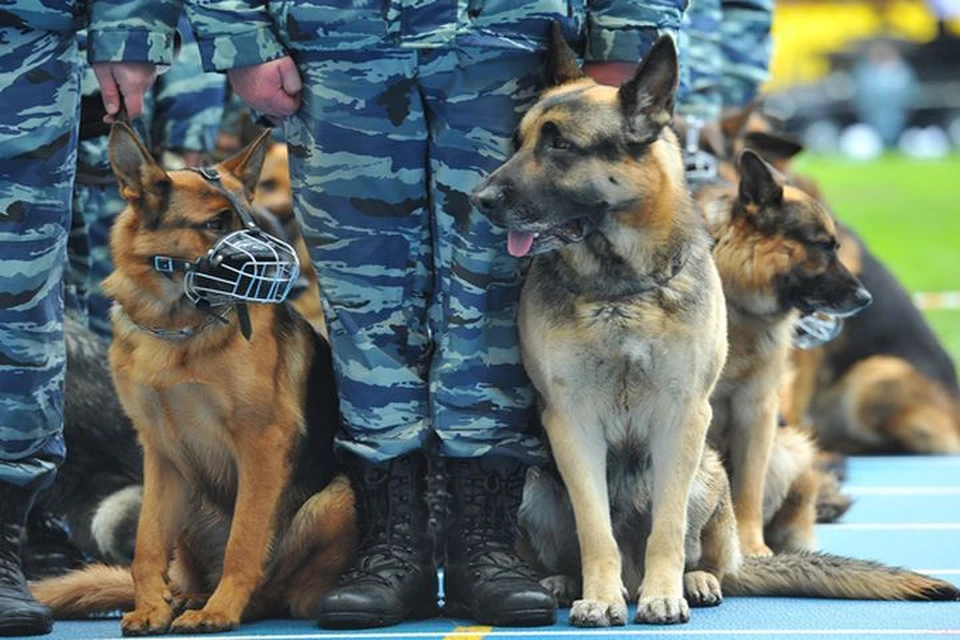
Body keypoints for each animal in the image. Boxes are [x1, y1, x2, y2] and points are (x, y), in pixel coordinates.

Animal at [33, 122, 358, 632]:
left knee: (278, 588)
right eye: (216, 224)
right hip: (188, 500)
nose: (287, 275)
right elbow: (147, 544)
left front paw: (220, 611)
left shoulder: (262, 445)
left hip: (336, 500)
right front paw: (150, 606)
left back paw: (246, 601)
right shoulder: (159, 451)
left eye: (250, 223)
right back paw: (185, 597)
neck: (176, 328)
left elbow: (243, 542)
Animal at [692, 149, 872, 556]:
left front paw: (750, 546)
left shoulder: (756, 412)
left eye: (836, 245)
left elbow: (747, 490)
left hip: (791, 448)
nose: (866, 299)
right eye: (824, 245)